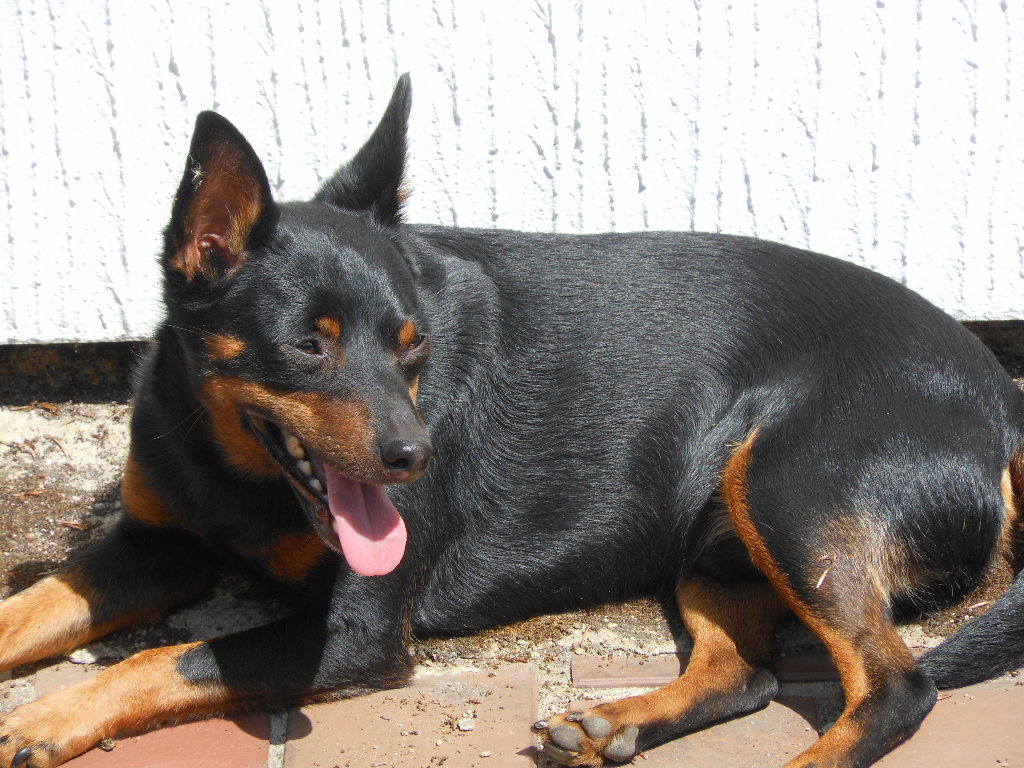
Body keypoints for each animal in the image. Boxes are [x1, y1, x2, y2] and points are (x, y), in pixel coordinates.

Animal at [0, 73, 1022, 768]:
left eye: (413, 344)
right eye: (307, 349)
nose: (415, 456)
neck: (230, 466)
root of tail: (996, 386)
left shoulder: (357, 634)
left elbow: (170, 658)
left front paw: (41, 718)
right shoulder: (150, 545)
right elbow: (35, 608)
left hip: (789, 490)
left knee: (897, 687)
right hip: (718, 533)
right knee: (748, 670)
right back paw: (616, 722)